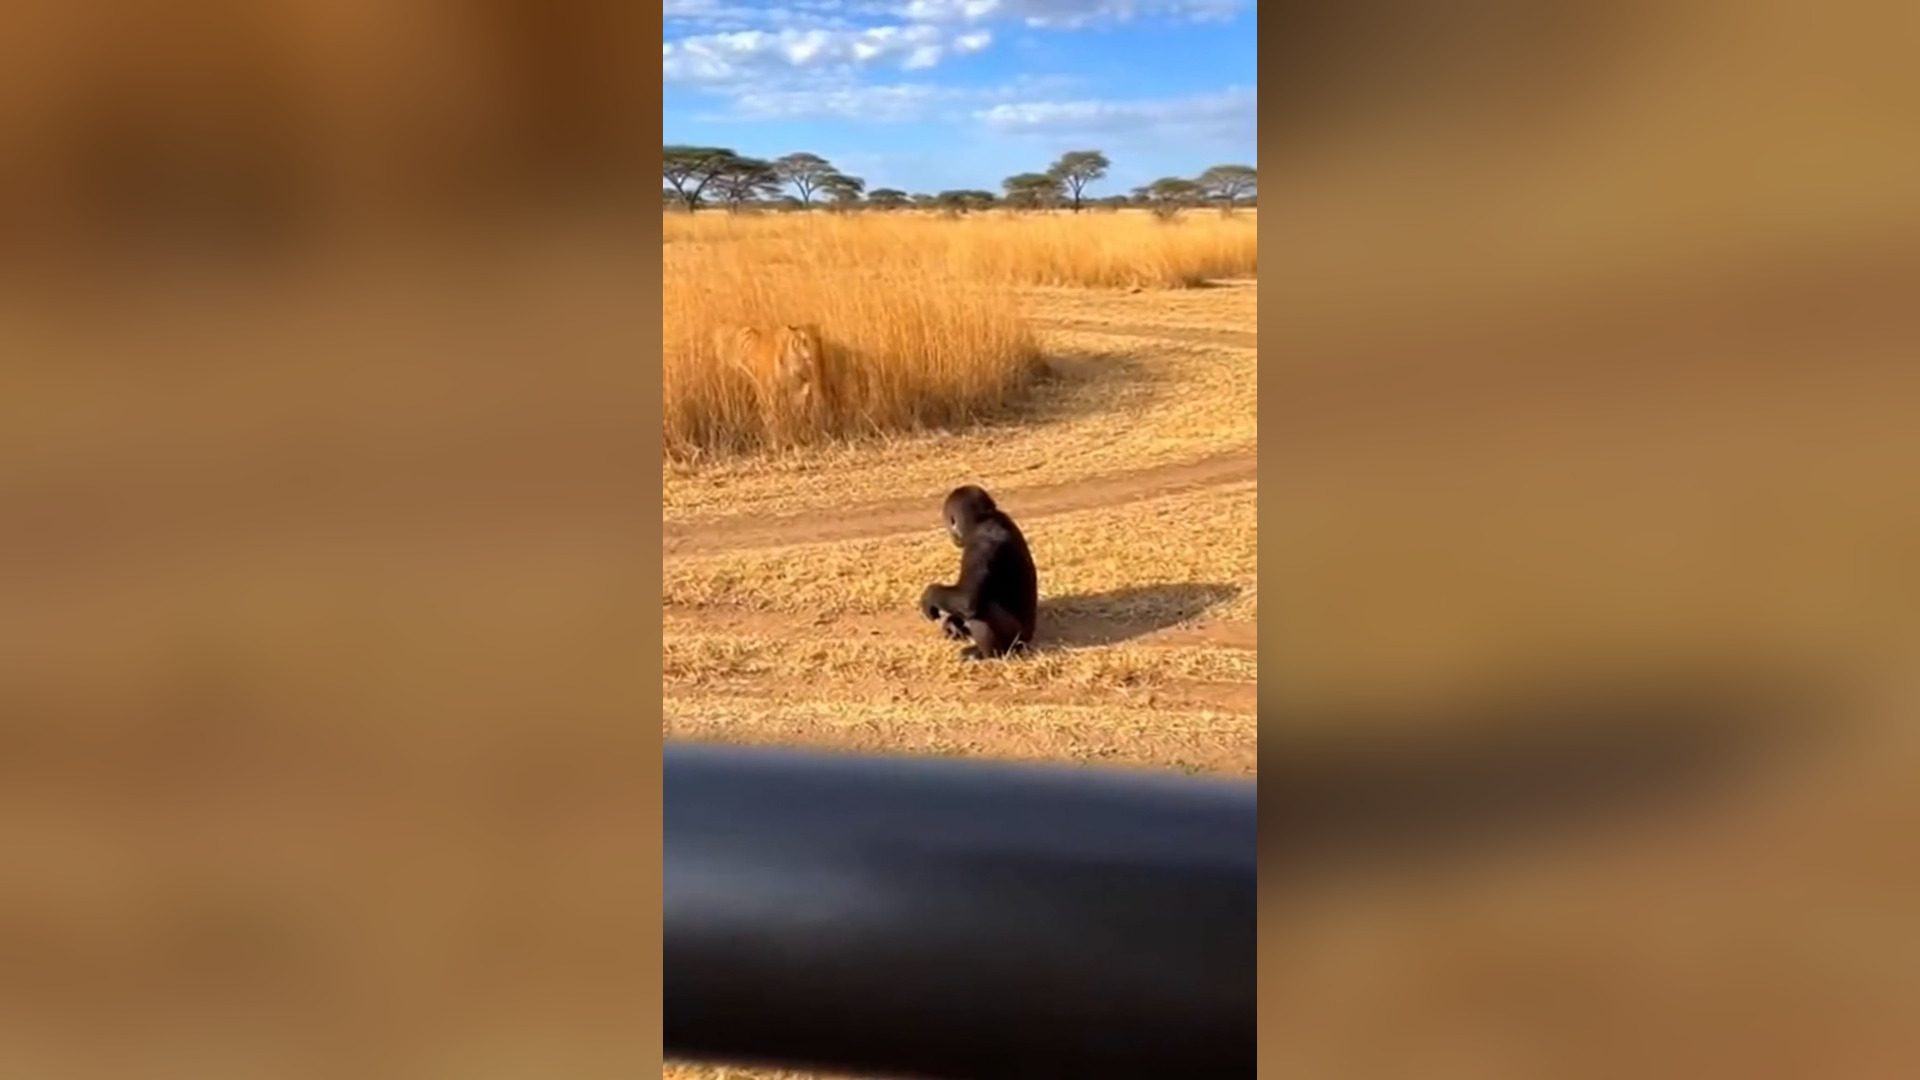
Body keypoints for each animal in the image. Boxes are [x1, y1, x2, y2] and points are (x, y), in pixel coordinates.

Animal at [918, 484, 1038, 659]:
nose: (952, 535)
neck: (985, 519)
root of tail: (1029, 639)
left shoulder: (980, 546)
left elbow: (966, 598)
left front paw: (929, 596)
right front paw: (952, 624)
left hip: (1017, 639)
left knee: (982, 609)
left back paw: (987, 654)